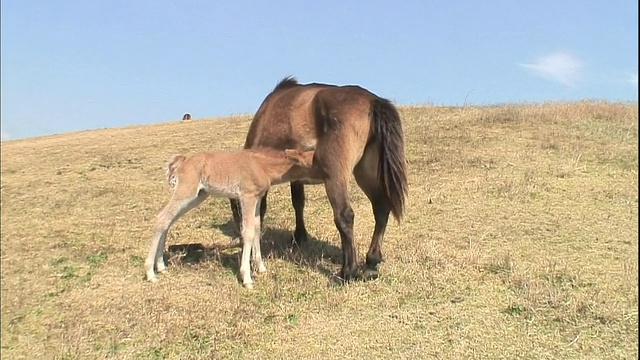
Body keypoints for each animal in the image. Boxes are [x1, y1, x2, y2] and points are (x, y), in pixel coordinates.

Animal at [144, 148, 316, 288]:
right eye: (314, 160)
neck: (261, 165)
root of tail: (183, 160)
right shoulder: (247, 196)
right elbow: (248, 232)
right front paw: (247, 278)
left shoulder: (257, 198)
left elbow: (257, 229)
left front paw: (261, 267)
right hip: (186, 191)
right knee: (161, 219)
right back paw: (150, 273)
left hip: (198, 196)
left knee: (168, 222)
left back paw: (161, 266)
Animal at [230, 76, 410, 282]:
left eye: (237, 208)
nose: (240, 237)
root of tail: (372, 102)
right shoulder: (296, 175)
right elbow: (298, 202)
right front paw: (299, 236)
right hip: (366, 173)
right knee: (381, 210)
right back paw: (371, 263)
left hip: (335, 177)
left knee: (345, 215)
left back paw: (348, 271)